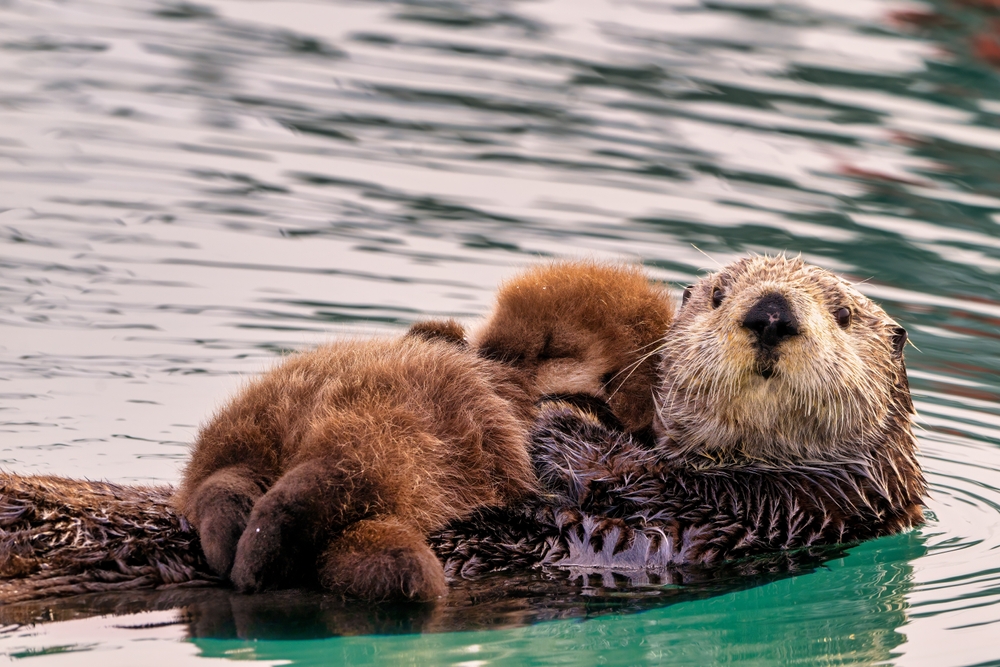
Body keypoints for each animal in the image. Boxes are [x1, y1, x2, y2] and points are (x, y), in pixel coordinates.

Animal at [174, 260, 674, 601]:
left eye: (552, 348)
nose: (487, 352)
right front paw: (442, 335)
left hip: (385, 445)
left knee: (311, 484)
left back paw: (245, 548)